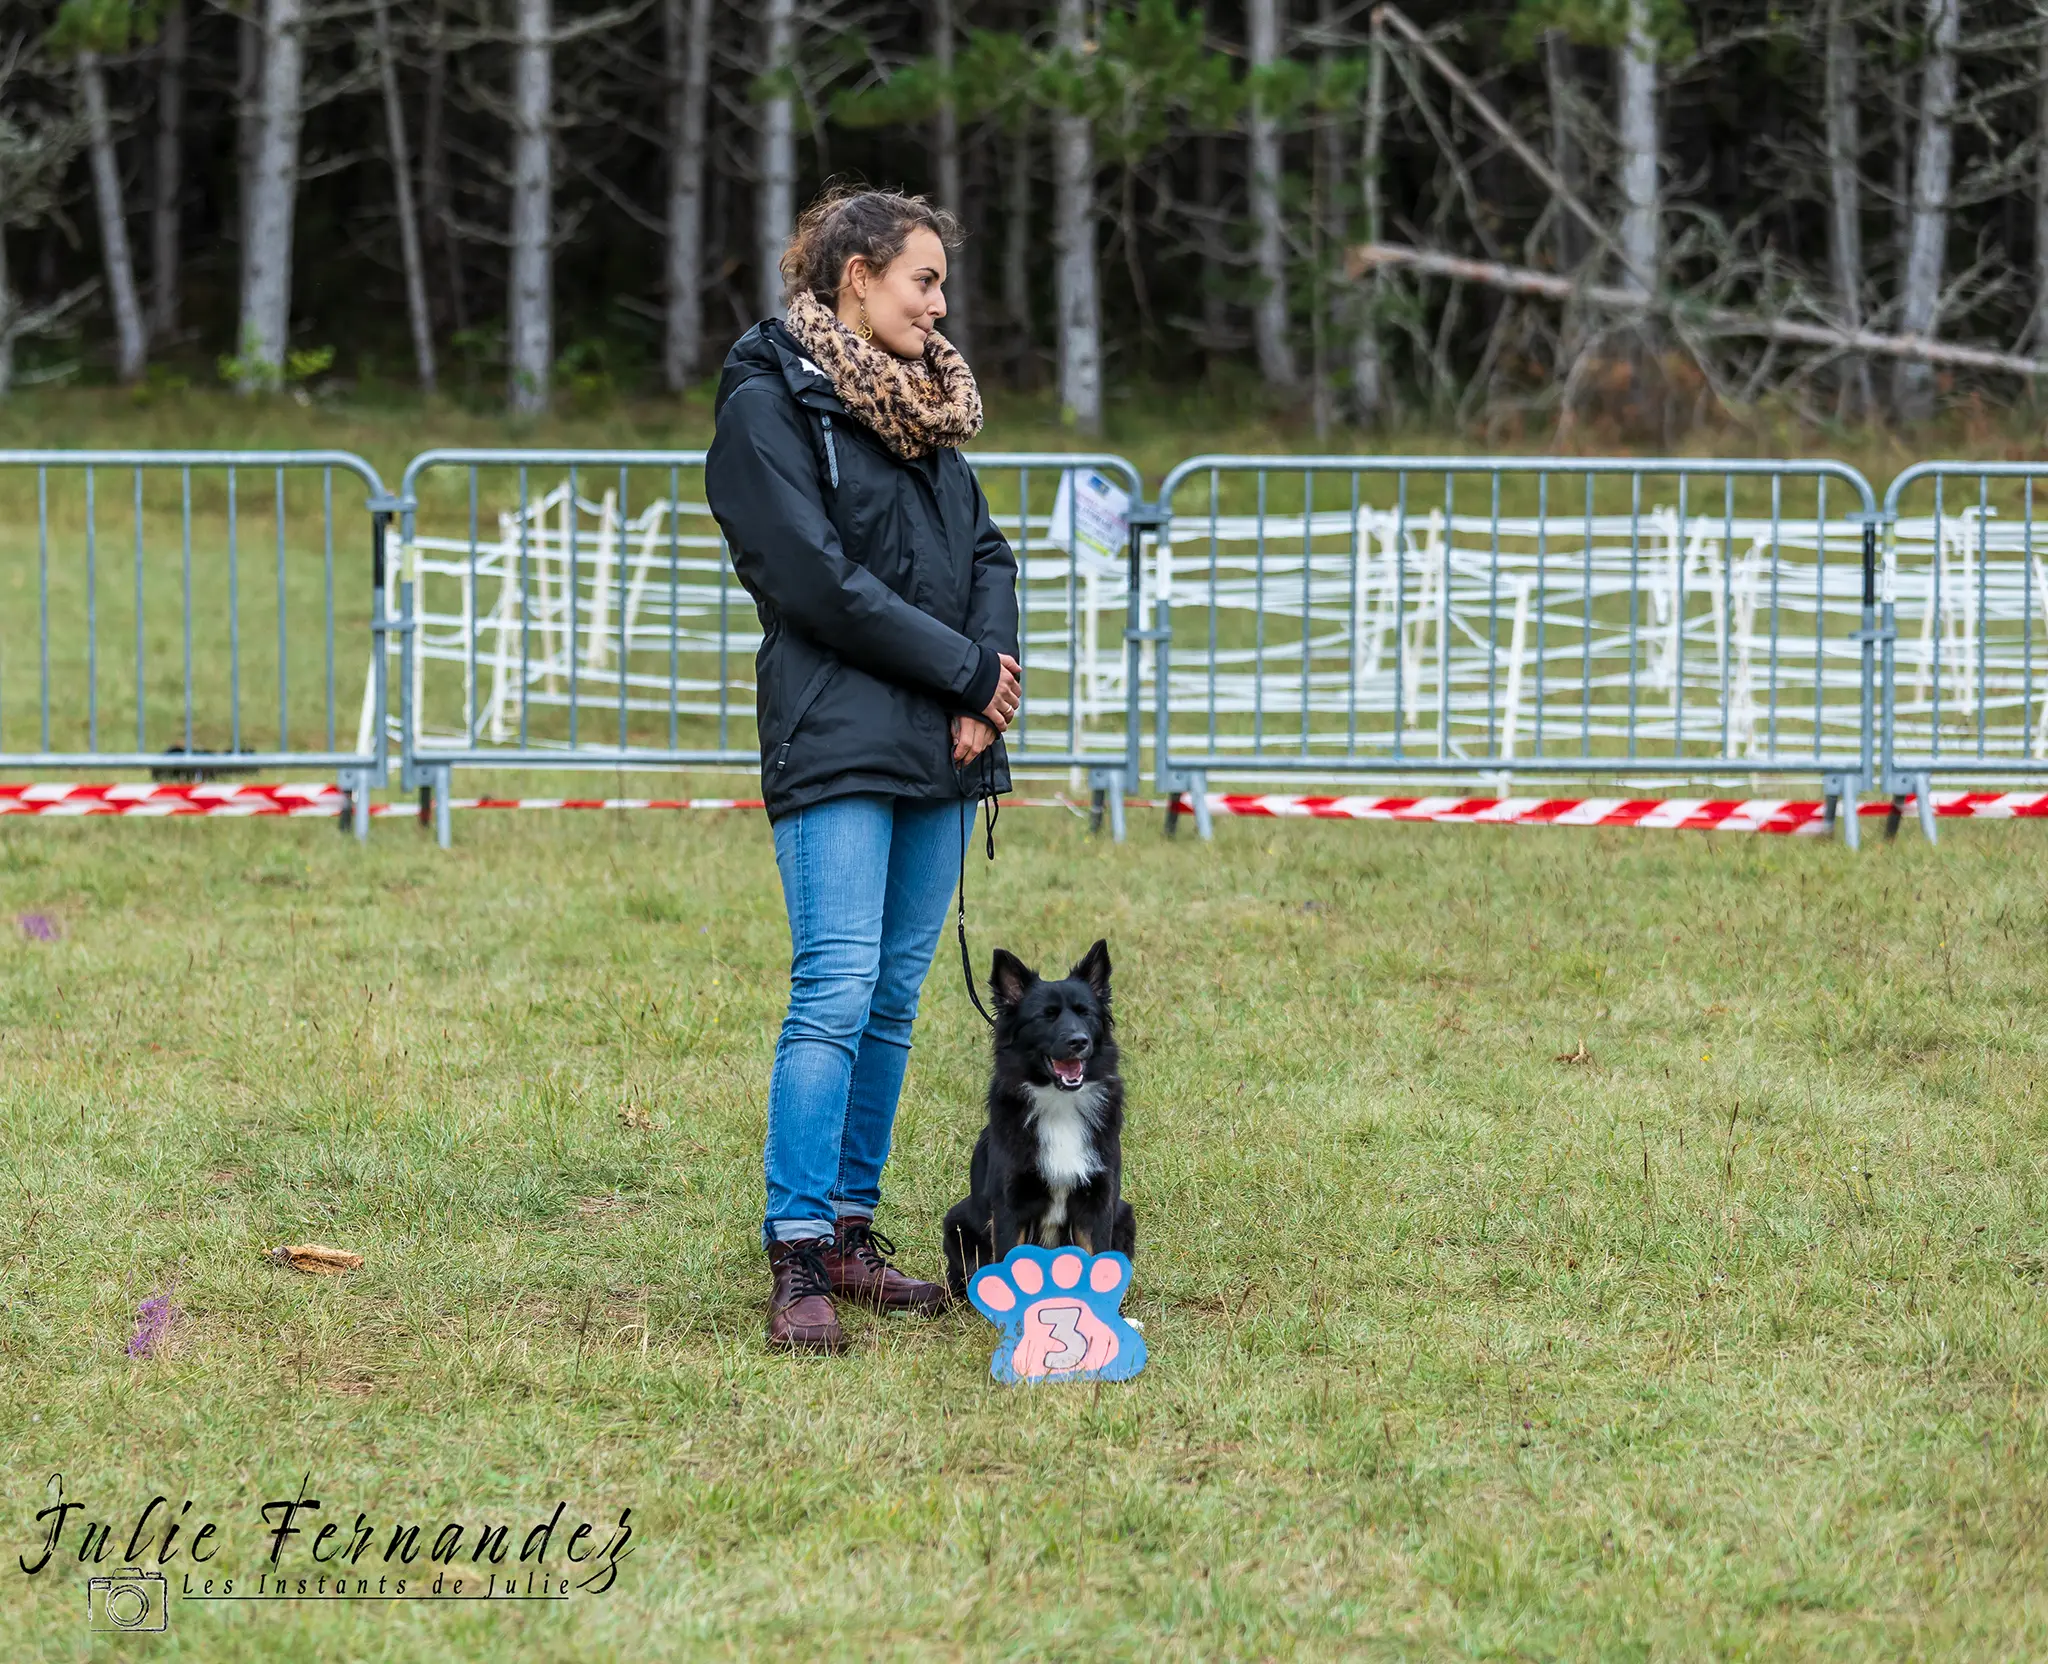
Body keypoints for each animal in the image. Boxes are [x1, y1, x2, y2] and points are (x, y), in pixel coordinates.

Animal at [942, 934, 1138, 1303]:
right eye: (1045, 1017)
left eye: (1085, 1013)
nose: (1079, 1041)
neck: (1060, 1102)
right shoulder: (1010, 1205)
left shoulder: (1098, 1204)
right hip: (957, 1220)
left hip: (1124, 1214)